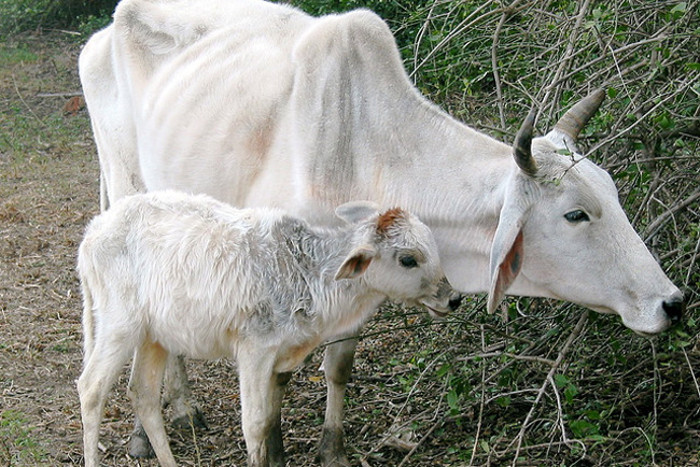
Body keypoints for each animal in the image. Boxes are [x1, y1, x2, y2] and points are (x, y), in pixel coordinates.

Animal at [78, 0, 685, 465]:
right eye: (576, 214)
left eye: (613, 193)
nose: (673, 303)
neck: (365, 147)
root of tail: (104, 32)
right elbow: (275, 388)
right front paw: (275, 449)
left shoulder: (356, 285)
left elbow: (339, 365)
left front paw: (333, 449)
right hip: (127, 186)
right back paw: (149, 428)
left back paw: (181, 408)